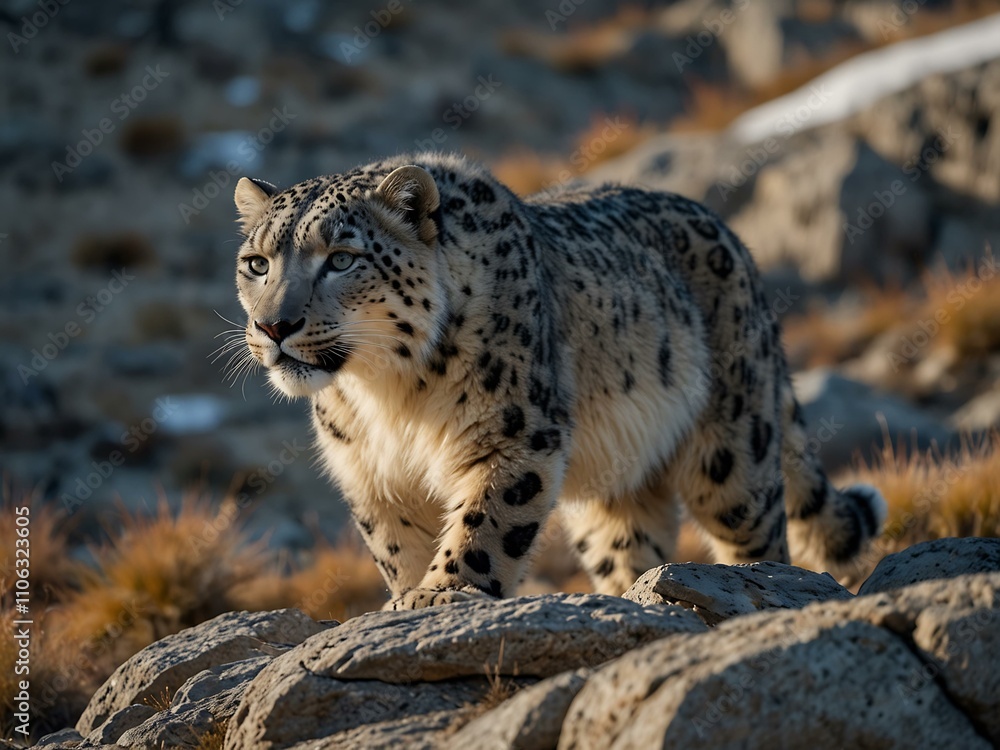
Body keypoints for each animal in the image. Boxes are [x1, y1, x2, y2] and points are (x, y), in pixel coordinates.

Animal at [231, 151, 886, 610]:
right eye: (256, 263)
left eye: (342, 258)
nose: (273, 325)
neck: (384, 396)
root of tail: (740, 248)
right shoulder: (374, 478)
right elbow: (398, 548)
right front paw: (406, 596)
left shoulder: (514, 435)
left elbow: (484, 524)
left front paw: (441, 593)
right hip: (616, 487)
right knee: (629, 545)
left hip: (733, 459)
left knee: (759, 536)